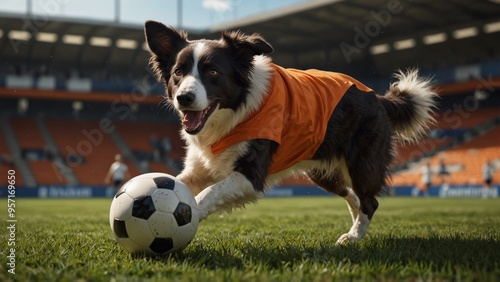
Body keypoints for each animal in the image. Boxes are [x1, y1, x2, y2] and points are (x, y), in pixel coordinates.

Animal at [143, 20, 436, 243]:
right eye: (178, 72)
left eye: (213, 72)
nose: (184, 98)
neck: (235, 111)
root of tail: (377, 96)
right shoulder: (199, 167)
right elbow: (175, 181)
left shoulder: (251, 174)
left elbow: (209, 193)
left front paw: (191, 214)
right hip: (321, 170)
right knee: (353, 196)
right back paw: (355, 227)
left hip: (363, 161)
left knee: (369, 201)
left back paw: (353, 236)